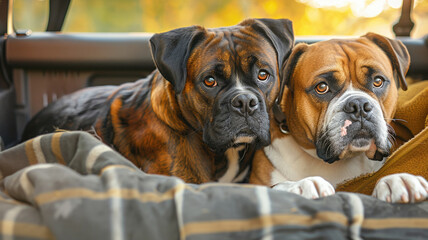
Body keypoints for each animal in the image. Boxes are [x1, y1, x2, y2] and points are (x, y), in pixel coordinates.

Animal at [249, 33, 428, 202]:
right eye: (322, 87)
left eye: (378, 81)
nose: (359, 105)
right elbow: (276, 186)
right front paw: (303, 184)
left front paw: (399, 180)